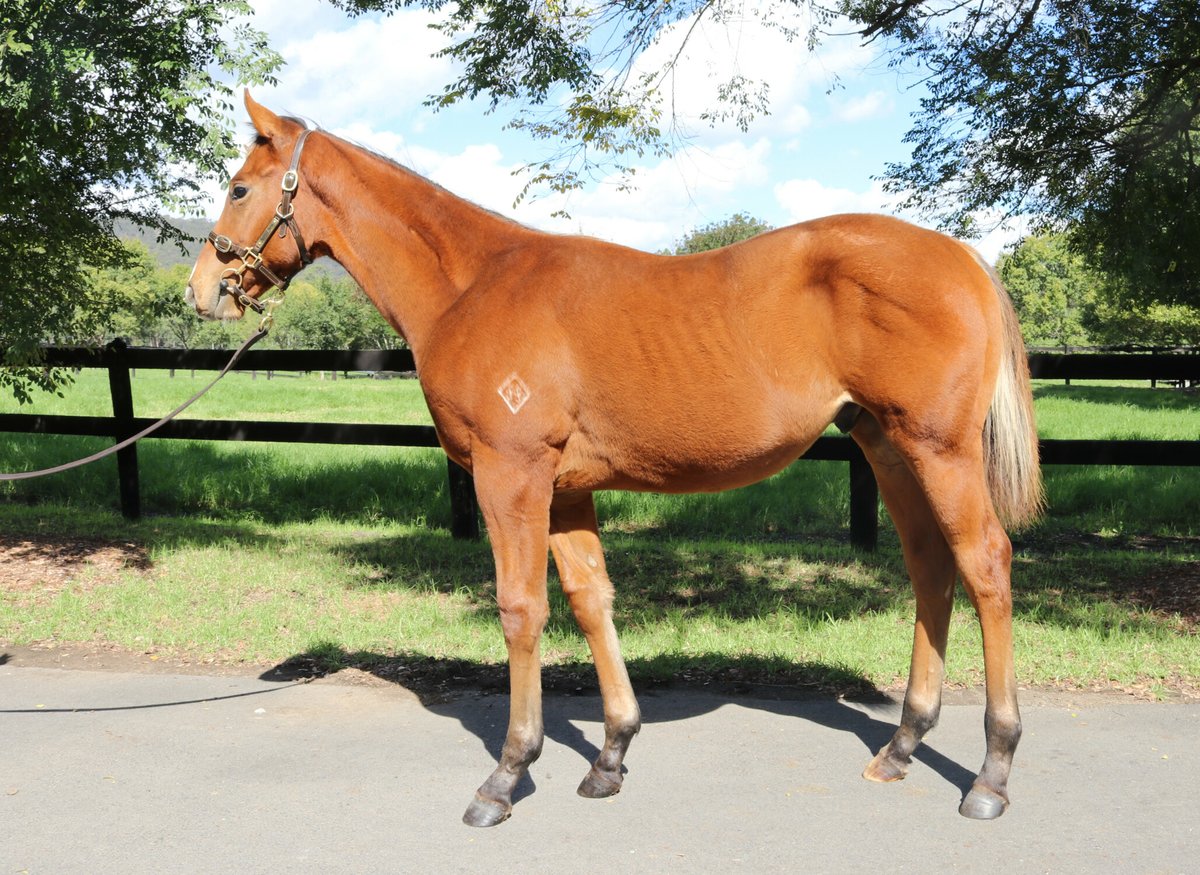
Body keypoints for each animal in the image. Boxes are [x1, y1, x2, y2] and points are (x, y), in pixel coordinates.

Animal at [184, 93, 1041, 825]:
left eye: (238, 187)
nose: (204, 288)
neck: (474, 284)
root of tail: (966, 258)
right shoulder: (565, 489)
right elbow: (592, 599)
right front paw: (610, 754)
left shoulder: (511, 475)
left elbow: (521, 609)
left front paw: (507, 773)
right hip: (889, 449)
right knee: (932, 568)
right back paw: (902, 745)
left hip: (939, 450)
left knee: (984, 564)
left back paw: (992, 773)